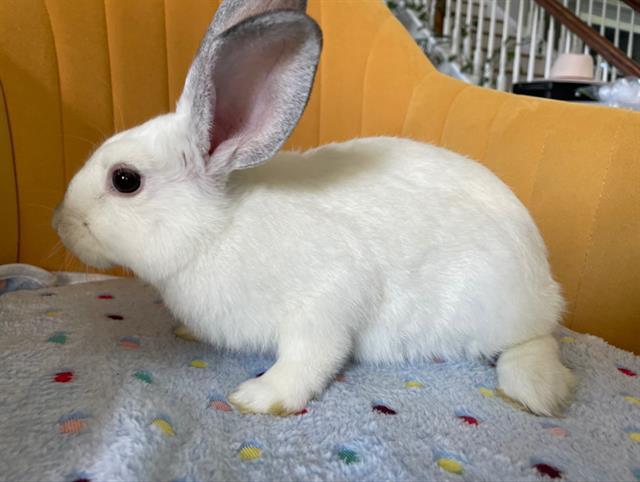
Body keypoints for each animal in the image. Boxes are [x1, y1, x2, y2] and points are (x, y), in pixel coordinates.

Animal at [53, 0, 574, 416]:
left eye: (125, 180)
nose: (60, 222)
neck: (215, 230)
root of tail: (544, 279)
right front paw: (188, 333)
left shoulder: (325, 302)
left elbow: (310, 358)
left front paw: (260, 398)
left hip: (495, 305)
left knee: (535, 340)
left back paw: (535, 391)